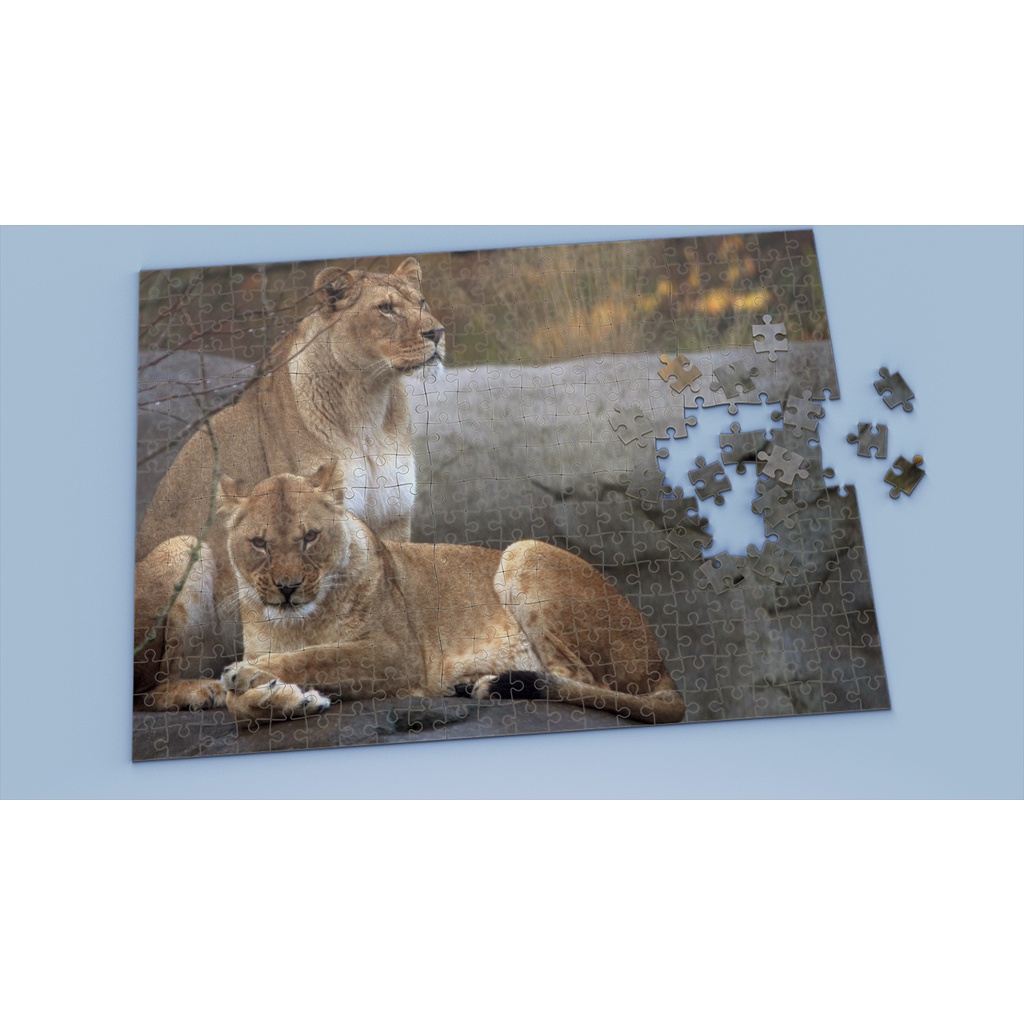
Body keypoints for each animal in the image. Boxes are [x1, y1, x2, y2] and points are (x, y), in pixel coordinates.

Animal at [134, 258, 444, 711]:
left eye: (422, 303)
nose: (437, 333)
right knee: (151, 690)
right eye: (386, 308)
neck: (371, 401)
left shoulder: (392, 517)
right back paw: (202, 690)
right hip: (182, 549)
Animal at [214, 466, 686, 726]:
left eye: (310, 537)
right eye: (259, 543)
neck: (300, 623)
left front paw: (249, 675)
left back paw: (489, 686)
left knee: (583, 682)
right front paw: (285, 698)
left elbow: (318, 656)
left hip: (524, 552)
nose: (288, 587)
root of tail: (663, 665)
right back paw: (472, 684)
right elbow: (236, 705)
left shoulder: (398, 656)